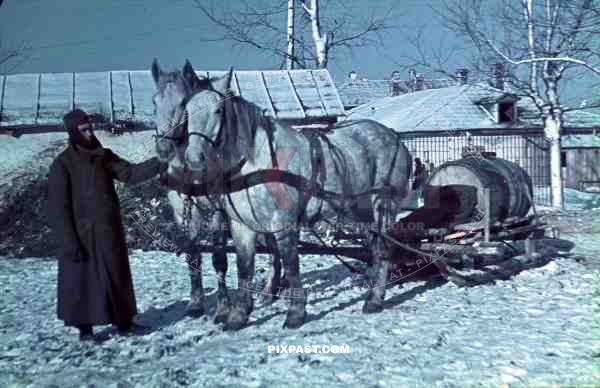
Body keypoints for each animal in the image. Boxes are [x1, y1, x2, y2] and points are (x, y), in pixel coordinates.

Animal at [173, 62, 414, 328]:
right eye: (187, 111)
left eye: (217, 110)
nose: (194, 160)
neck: (258, 163)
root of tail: (395, 138)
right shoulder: (240, 226)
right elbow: (244, 267)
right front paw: (239, 315)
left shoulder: (283, 223)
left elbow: (290, 264)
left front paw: (296, 313)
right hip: (360, 208)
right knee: (373, 247)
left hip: (384, 204)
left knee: (384, 249)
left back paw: (375, 300)